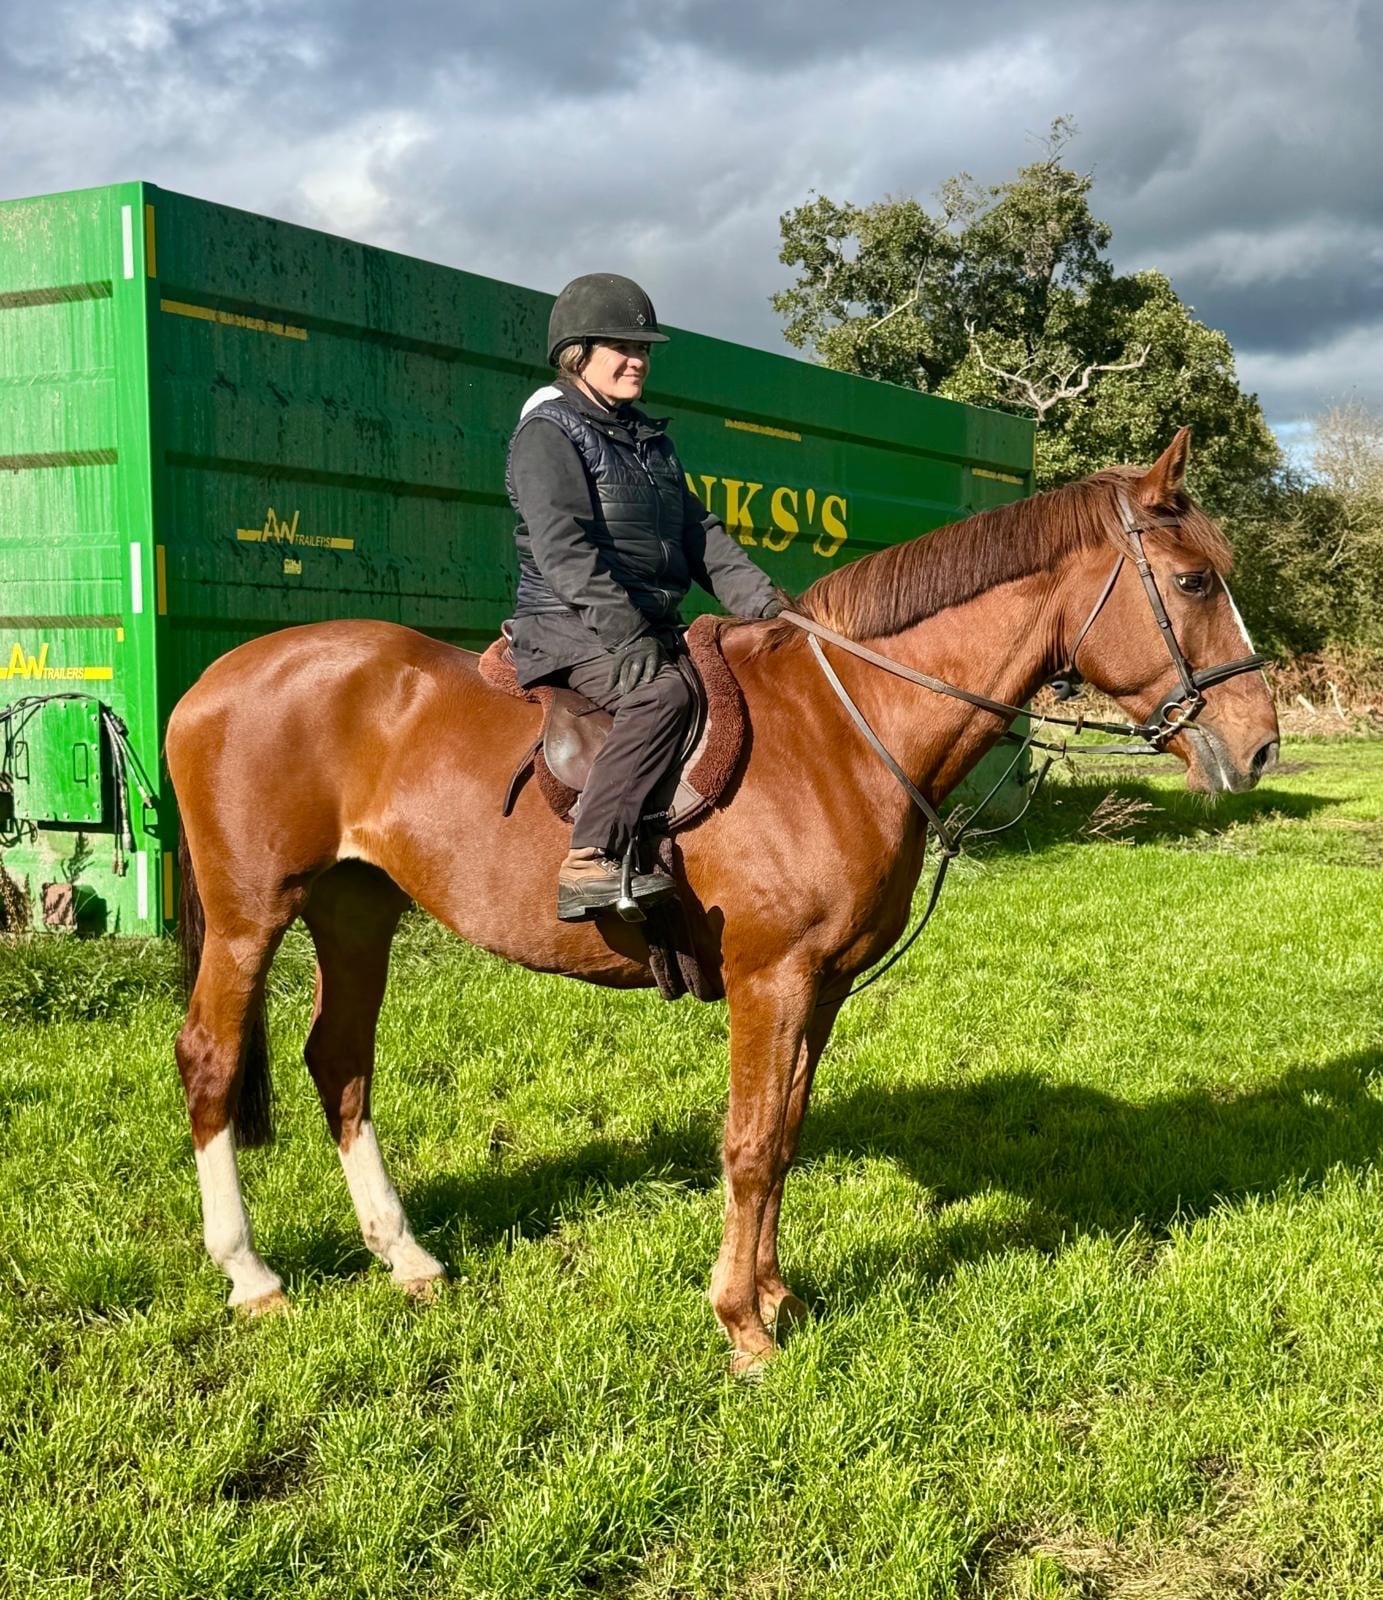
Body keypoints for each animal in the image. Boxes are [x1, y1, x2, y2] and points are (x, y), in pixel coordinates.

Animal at [167, 428, 1279, 1374]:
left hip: (357, 909)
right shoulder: (768, 977)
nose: (1260, 744)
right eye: (1192, 579)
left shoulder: (822, 986)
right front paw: (743, 1324)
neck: (843, 725)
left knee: (340, 1064)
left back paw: (405, 1258)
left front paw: (779, 1295)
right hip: (252, 915)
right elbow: (747, 1146)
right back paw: (251, 1274)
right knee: (212, 1060)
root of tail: (211, 679)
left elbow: (785, 1135)